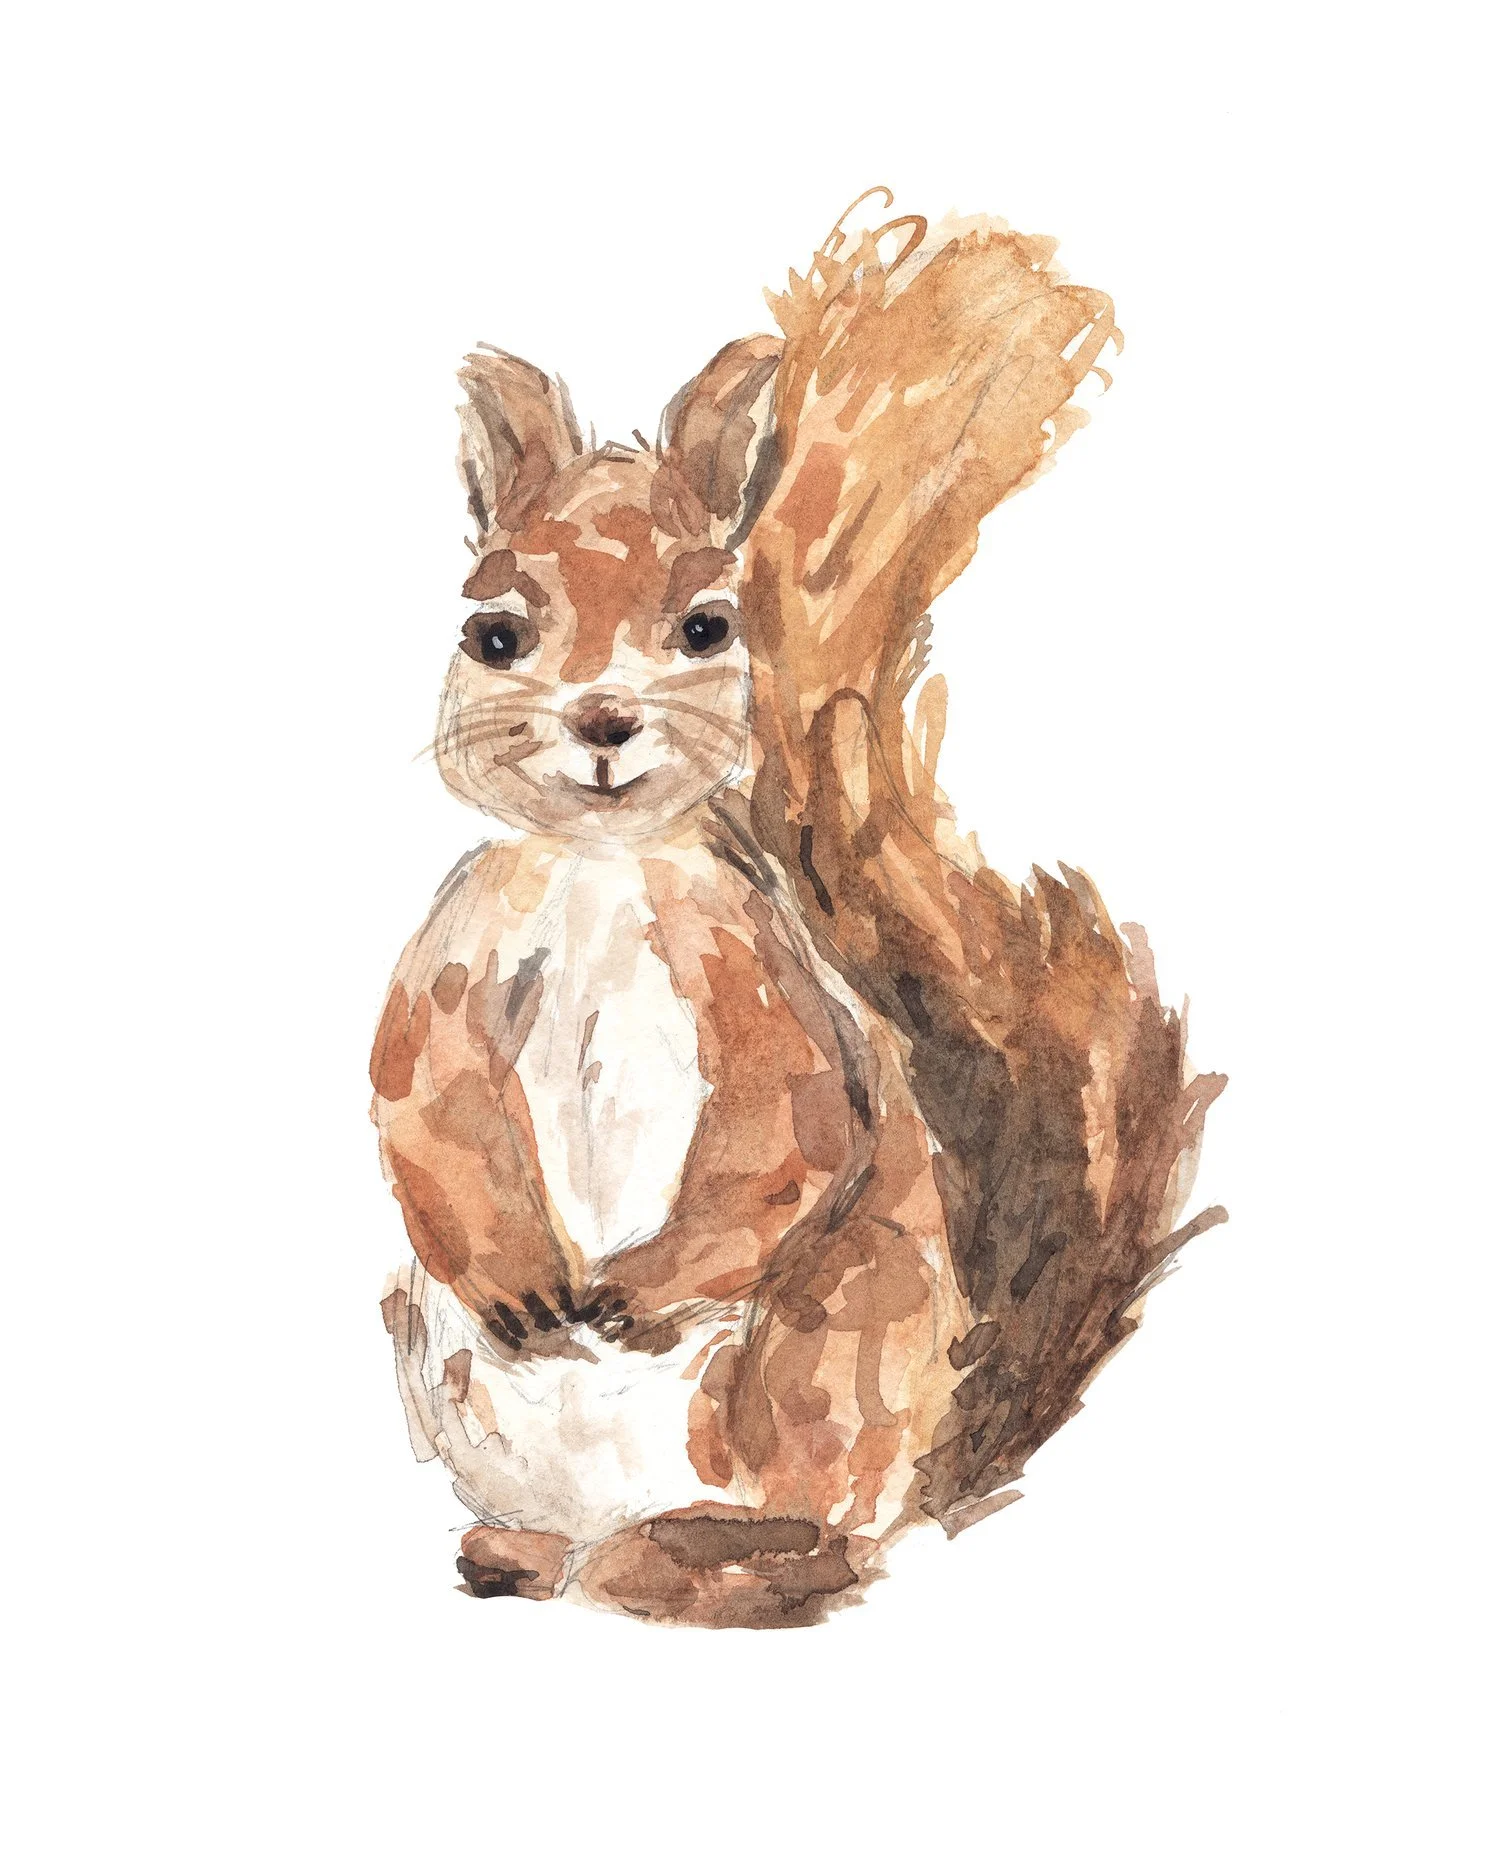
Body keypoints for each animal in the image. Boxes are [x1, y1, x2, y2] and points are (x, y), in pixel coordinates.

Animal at [371, 192, 1226, 1627]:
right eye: (492, 636)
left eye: (709, 625)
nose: (604, 722)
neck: (602, 867)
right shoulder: (453, 966)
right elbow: (421, 1110)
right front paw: (524, 1277)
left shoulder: (757, 973)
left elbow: (798, 1128)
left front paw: (633, 1292)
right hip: (436, 1360)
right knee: (570, 1536)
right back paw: (519, 1557)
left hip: (811, 1366)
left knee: (821, 1535)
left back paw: (698, 1560)